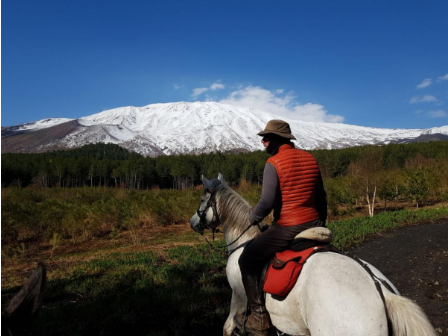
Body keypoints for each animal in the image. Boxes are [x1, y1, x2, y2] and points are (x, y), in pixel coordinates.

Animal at [190, 175, 438, 336]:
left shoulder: (239, 297)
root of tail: (382, 293)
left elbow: (228, 327)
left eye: (202, 200)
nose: (193, 222)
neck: (244, 239)